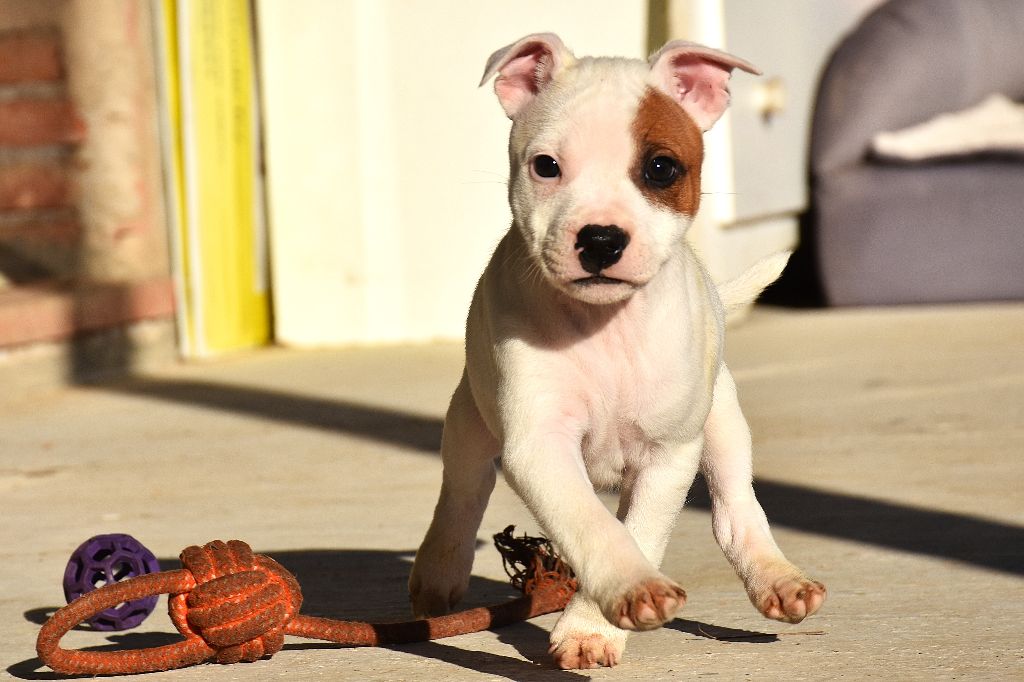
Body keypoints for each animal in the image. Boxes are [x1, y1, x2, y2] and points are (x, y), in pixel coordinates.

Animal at [409, 33, 826, 670]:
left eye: (660, 168)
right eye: (546, 166)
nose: (601, 239)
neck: (604, 327)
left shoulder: (667, 453)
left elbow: (639, 530)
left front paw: (593, 624)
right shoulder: (540, 443)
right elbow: (590, 523)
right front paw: (624, 594)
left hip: (723, 421)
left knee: (735, 511)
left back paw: (777, 577)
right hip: (470, 420)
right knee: (462, 491)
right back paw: (438, 571)